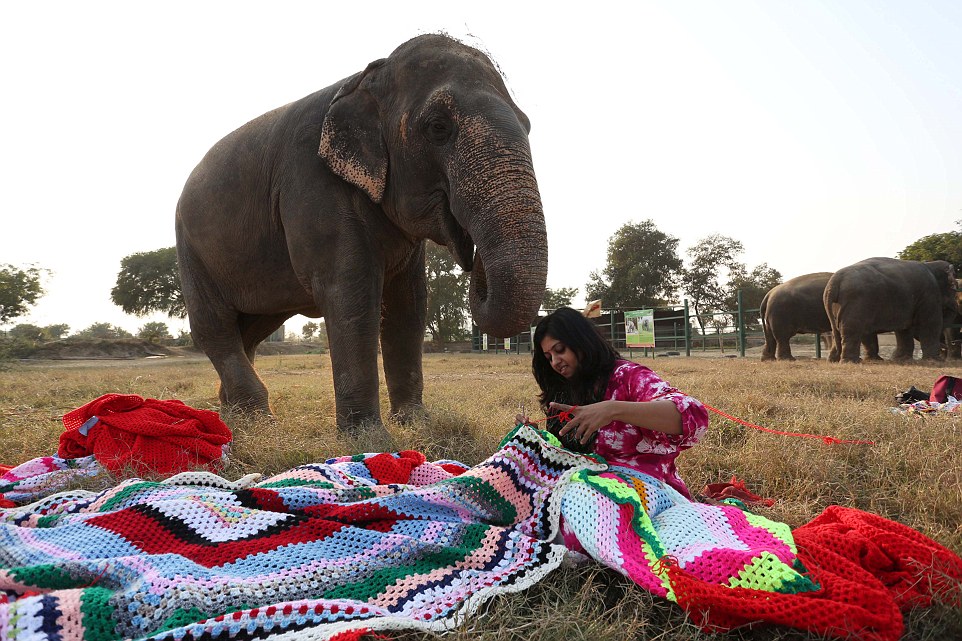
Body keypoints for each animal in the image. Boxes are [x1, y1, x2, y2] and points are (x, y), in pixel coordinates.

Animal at [175, 31, 544, 430]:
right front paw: (368, 437)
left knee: (253, 328)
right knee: (214, 325)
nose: (474, 260)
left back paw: (236, 416)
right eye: (438, 127)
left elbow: (409, 303)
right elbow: (350, 291)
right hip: (189, 248)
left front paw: (414, 423)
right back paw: (259, 420)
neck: (367, 77)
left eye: (527, 125)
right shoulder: (314, 186)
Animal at [820, 258, 956, 362]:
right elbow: (930, 324)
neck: (930, 264)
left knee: (840, 330)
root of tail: (833, 283)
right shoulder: (929, 292)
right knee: (853, 329)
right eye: (954, 288)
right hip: (856, 303)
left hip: (843, 306)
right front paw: (936, 361)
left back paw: (835, 360)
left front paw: (901, 359)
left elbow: (904, 329)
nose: (944, 348)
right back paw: (851, 361)